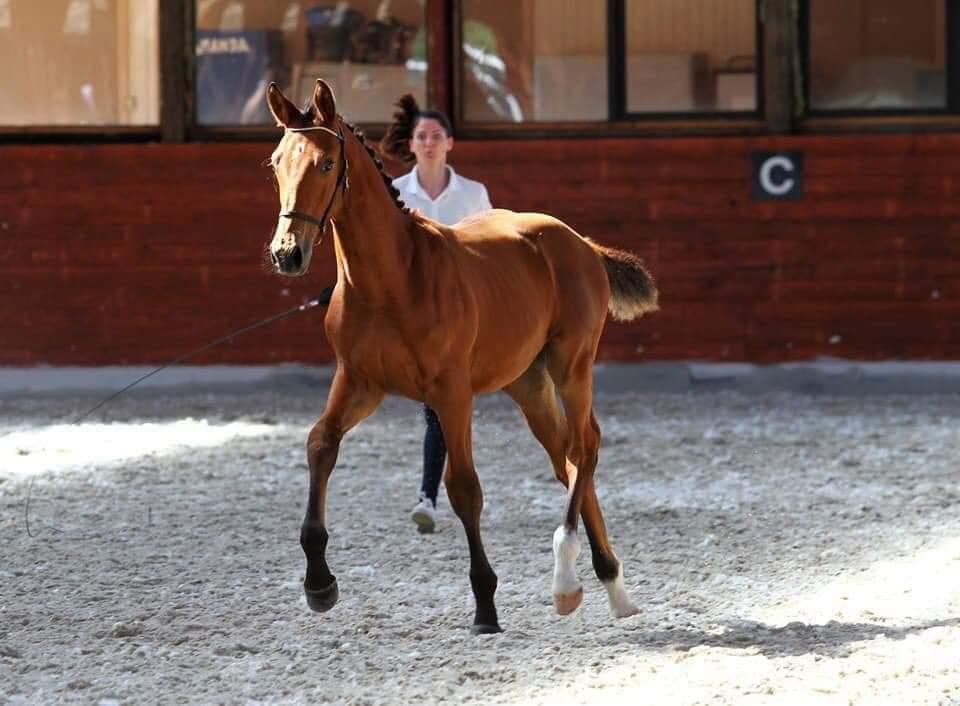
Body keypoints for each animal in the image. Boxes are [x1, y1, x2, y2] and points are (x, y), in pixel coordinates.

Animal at [266, 78, 656, 632]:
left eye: (325, 164)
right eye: (276, 162)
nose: (287, 253)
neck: (392, 281)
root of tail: (579, 242)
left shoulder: (451, 393)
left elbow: (464, 487)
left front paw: (485, 604)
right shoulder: (359, 382)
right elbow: (321, 445)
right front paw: (319, 583)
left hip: (572, 364)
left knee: (585, 447)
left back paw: (568, 580)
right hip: (527, 382)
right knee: (566, 455)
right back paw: (609, 585)